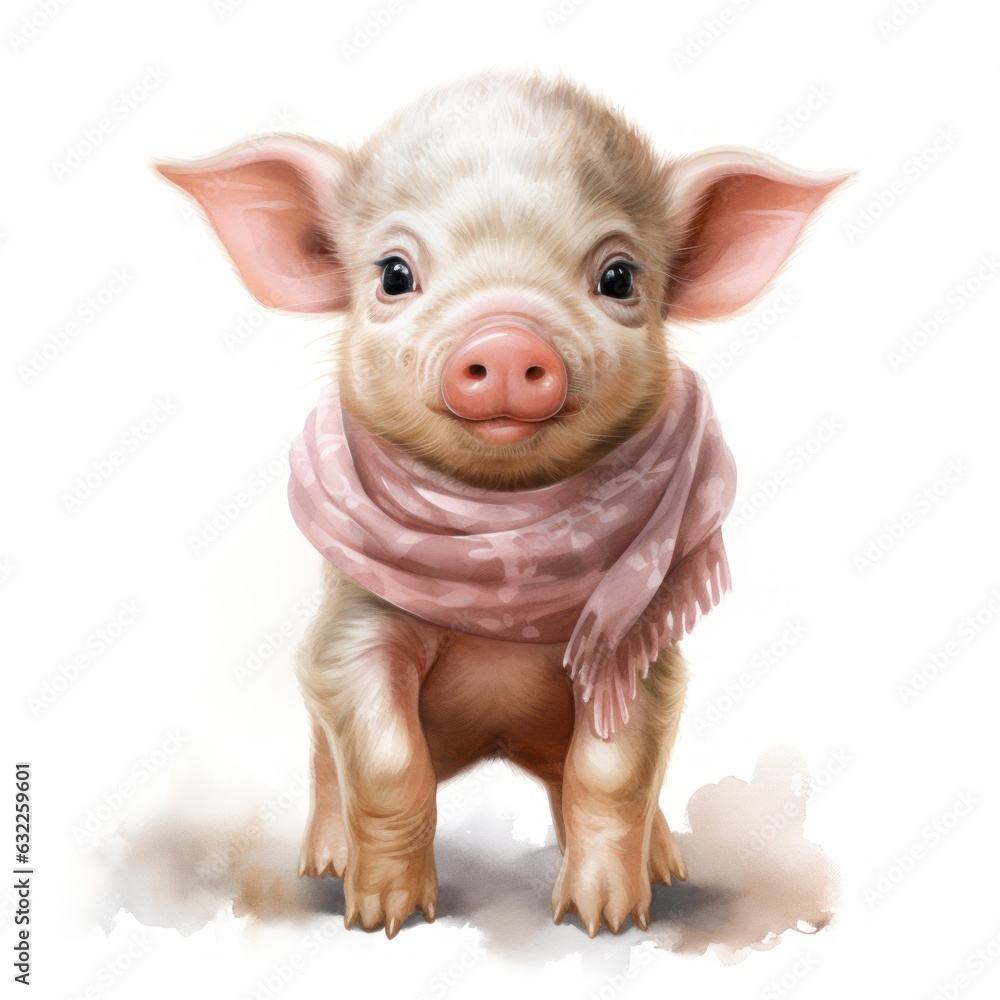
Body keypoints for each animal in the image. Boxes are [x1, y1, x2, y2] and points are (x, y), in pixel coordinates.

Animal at [156, 70, 849, 938]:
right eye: (393, 273)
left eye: (619, 277)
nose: (509, 340)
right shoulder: (350, 630)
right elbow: (385, 763)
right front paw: (384, 919)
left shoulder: (643, 645)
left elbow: (613, 771)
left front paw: (604, 922)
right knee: (324, 766)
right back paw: (324, 865)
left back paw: (665, 868)